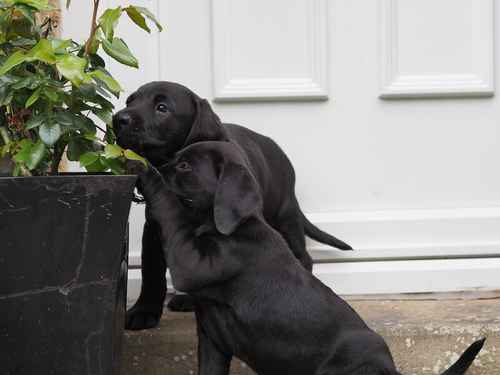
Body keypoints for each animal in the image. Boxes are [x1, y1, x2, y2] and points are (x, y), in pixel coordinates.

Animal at [114, 81, 352, 328]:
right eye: (130, 101)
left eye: (162, 107)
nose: (118, 119)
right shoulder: (154, 227)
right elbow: (152, 271)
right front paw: (144, 310)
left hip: (285, 215)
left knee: (303, 256)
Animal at [130, 141, 484, 375]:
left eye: (185, 166)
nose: (148, 163)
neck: (227, 227)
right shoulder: (213, 342)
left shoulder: (192, 263)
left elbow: (171, 211)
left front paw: (145, 174)